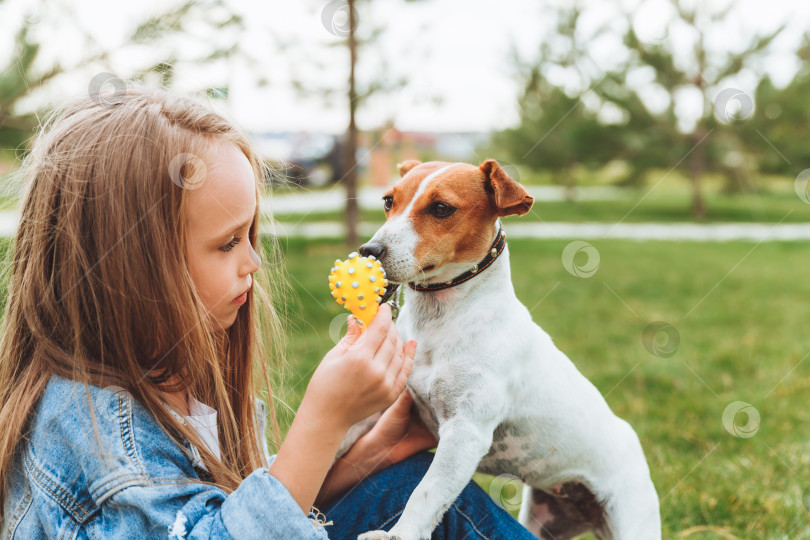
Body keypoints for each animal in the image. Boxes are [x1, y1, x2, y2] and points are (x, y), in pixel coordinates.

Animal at [334, 160, 656, 540]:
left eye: (440, 208)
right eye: (388, 201)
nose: (369, 251)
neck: (439, 321)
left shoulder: (465, 433)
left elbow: (426, 493)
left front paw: (400, 534)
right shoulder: (383, 403)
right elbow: (341, 437)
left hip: (632, 517)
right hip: (544, 520)